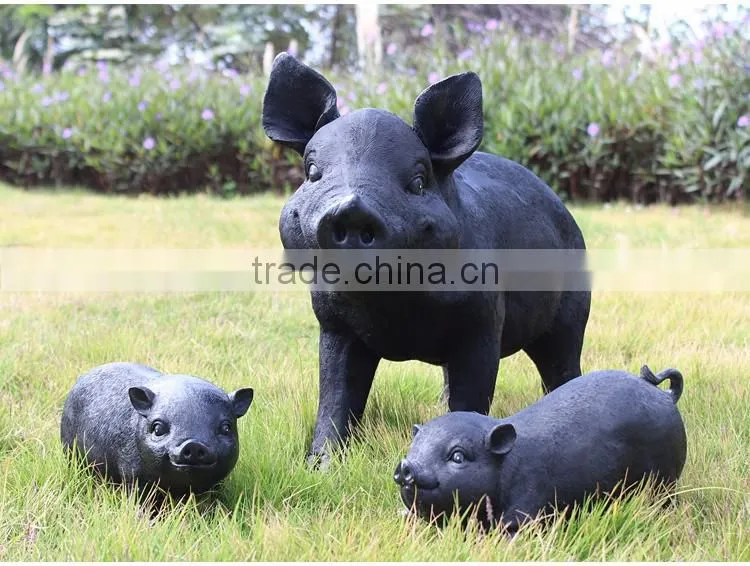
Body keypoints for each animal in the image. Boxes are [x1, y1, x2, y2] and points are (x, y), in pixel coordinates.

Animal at [262, 53, 591, 465]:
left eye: (418, 182)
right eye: (312, 172)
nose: (350, 209)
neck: (395, 304)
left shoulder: (483, 321)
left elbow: (473, 394)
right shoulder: (334, 325)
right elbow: (336, 396)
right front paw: (321, 467)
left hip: (573, 308)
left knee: (563, 362)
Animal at [394, 366, 687, 532]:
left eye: (458, 456)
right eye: (414, 447)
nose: (406, 467)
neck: (508, 465)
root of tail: (665, 395)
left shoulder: (530, 498)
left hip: (666, 478)